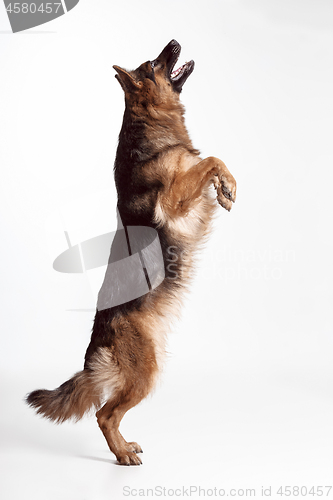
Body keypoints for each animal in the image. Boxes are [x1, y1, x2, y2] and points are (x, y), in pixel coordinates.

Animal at [27, 39, 236, 464]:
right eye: (152, 64)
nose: (173, 42)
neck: (152, 124)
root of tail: (97, 340)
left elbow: (212, 163)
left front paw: (226, 189)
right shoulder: (175, 200)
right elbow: (209, 159)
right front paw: (227, 184)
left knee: (108, 412)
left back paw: (124, 446)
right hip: (146, 372)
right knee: (104, 414)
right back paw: (122, 454)